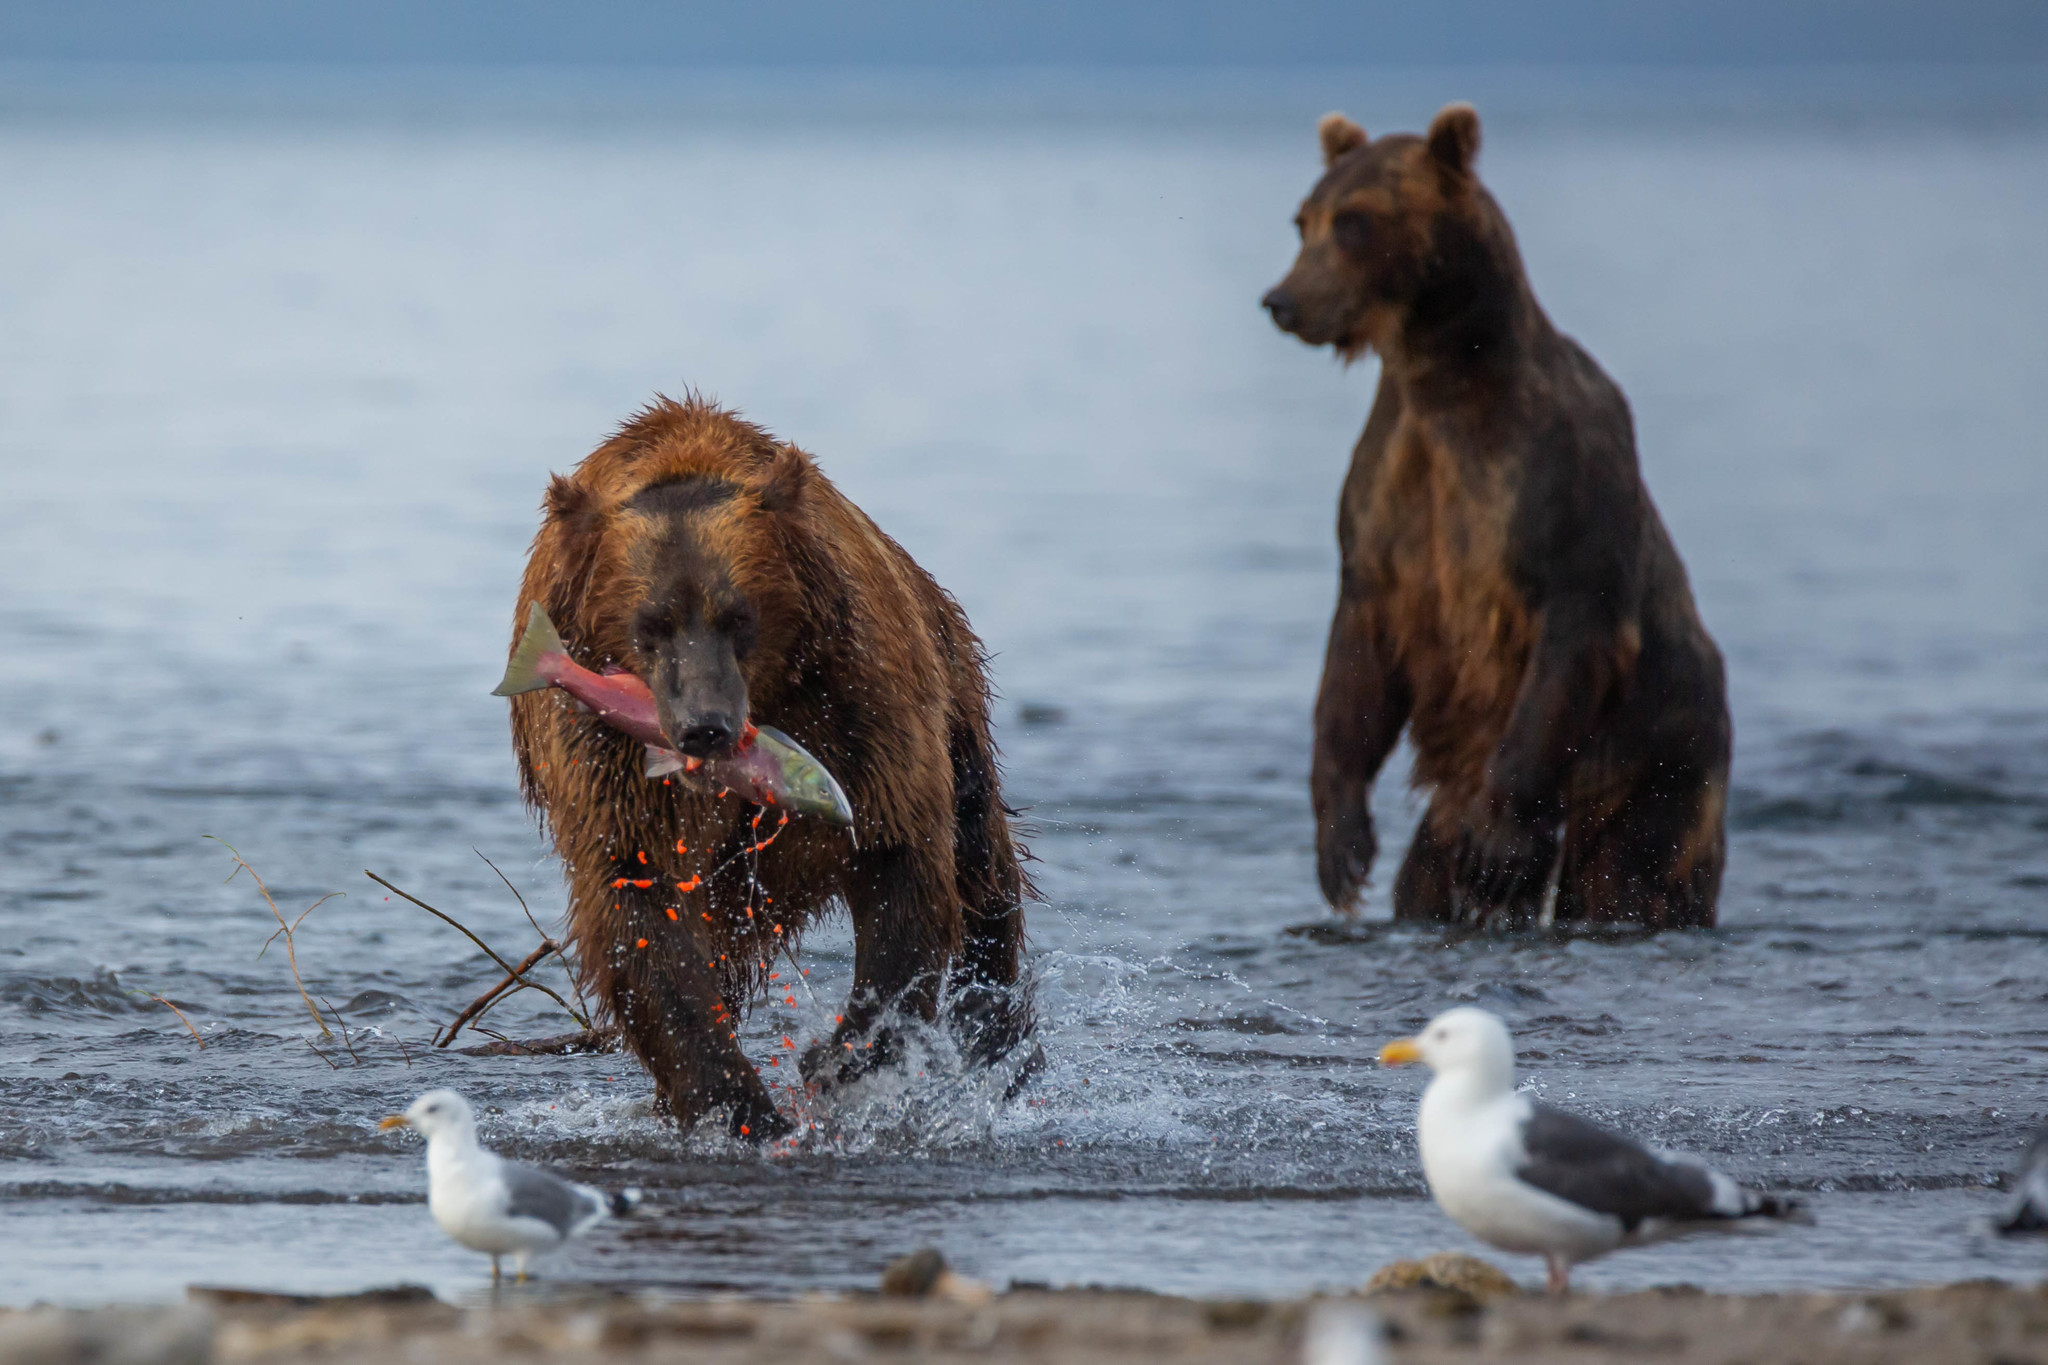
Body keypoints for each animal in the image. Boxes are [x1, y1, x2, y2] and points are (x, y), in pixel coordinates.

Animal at [505, 397, 1032, 1146]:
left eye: (739, 617)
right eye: (651, 625)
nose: (705, 724)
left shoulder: (855, 704)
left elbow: (902, 864)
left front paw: (843, 1061)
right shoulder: (605, 759)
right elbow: (639, 915)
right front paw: (737, 1104)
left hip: (952, 686)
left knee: (982, 863)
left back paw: (992, 1031)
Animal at [1261, 104, 1728, 929]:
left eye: (1356, 221)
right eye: (1303, 219)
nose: (1283, 301)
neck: (1442, 379)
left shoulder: (1557, 473)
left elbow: (1575, 624)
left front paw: (1498, 851)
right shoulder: (1386, 495)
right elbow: (1357, 656)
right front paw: (1341, 847)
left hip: (1659, 762)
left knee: (1634, 875)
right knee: (1425, 875)